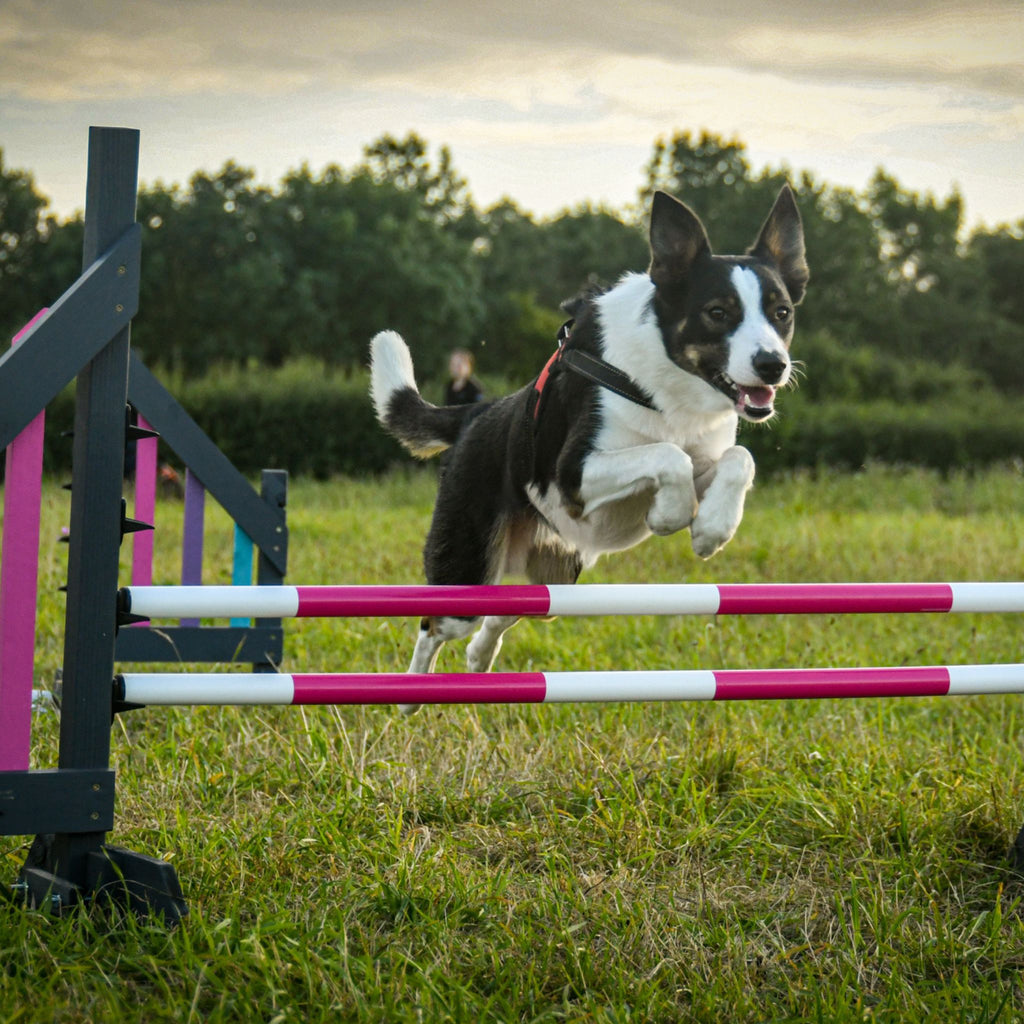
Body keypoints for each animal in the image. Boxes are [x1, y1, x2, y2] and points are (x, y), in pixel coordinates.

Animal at [368, 186, 806, 704]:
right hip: (468, 566)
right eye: (718, 312)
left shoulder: (705, 452)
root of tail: (478, 413)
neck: (672, 386)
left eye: (782, 313)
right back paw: (411, 693)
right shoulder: (573, 472)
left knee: (511, 607)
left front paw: (712, 529)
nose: (772, 365)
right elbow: (667, 455)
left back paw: (479, 657)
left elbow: (739, 459)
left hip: (558, 572)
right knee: (435, 623)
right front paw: (671, 515)